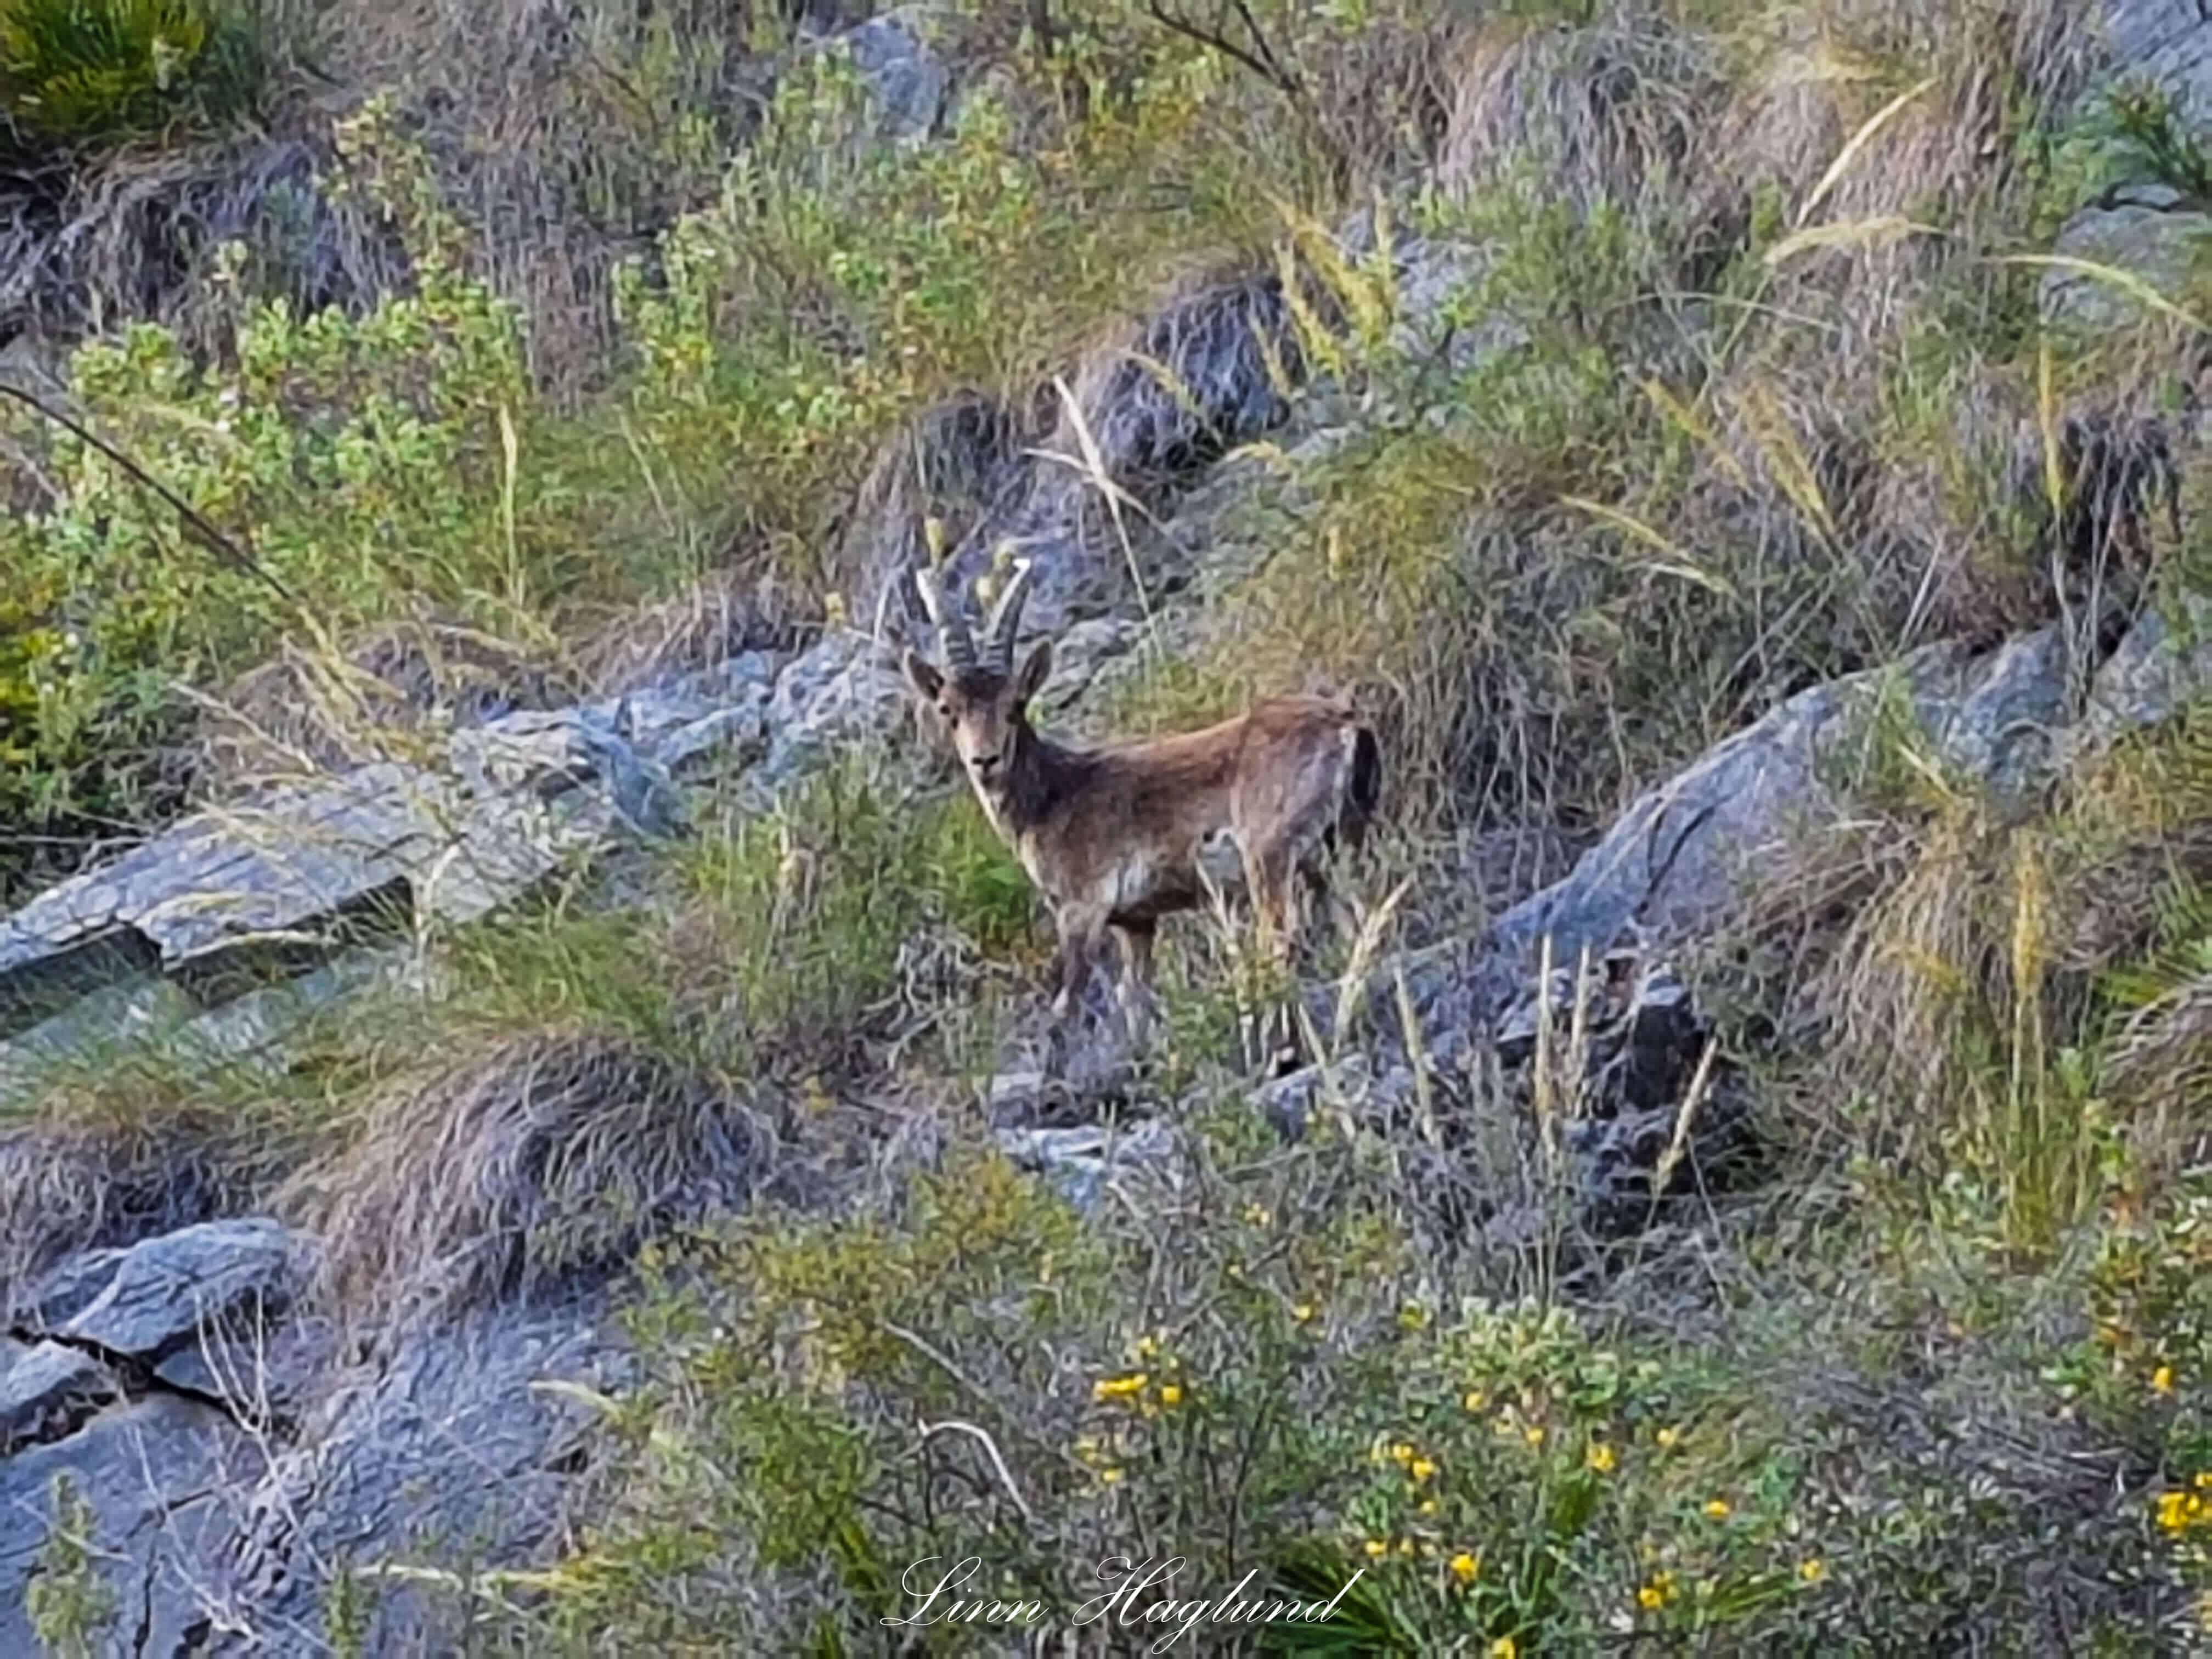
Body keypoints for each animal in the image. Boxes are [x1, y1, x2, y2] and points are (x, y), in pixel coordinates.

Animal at [902, 562, 1380, 1040]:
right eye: (948, 710)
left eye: (1015, 705)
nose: (985, 761)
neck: (1053, 795)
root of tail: (1346, 723)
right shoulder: (1136, 922)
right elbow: (1135, 1000)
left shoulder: (1082, 909)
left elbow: (1068, 1001)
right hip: (1340, 846)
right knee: (1357, 924)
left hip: (1269, 855)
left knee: (1281, 940)